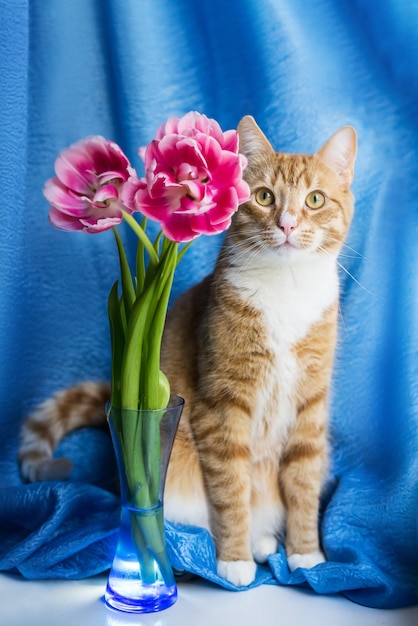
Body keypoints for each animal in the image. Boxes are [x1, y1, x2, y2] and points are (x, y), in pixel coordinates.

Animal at [19, 116, 358, 584]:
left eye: (315, 199)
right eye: (264, 196)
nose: (287, 224)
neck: (286, 289)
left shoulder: (310, 404)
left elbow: (304, 483)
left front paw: (306, 555)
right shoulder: (223, 405)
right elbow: (231, 489)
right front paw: (234, 560)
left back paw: (265, 541)